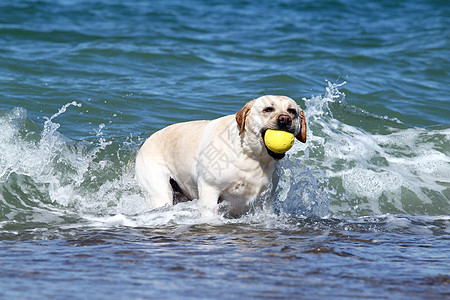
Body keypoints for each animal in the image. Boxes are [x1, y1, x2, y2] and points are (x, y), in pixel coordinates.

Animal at [135, 95, 308, 216]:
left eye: (292, 111)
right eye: (268, 109)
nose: (285, 119)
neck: (251, 156)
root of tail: (146, 142)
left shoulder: (265, 200)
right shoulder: (209, 189)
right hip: (159, 189)